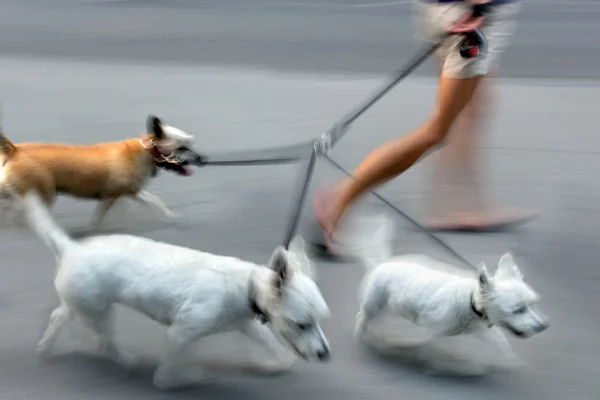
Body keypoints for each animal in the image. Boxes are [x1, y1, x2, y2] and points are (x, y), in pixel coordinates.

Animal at [0, 114, 205, 230]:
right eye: (182, 147)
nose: (202, 159)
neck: (147, 150)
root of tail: (14, 150)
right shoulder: (112, 196)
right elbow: (100, 217)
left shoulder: (131, 192)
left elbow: (155, 201)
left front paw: (169, 216)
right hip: (43, 194)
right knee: (17, 211)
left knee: (12, 207)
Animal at [22, 191, 332, 390]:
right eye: (301, 324)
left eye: (320, 320)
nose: (325, 355)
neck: (246, 286)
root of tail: (71, 247)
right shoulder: (180, 332)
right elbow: (171, 370)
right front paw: (183, 379)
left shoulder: (245, 324)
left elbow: (269, 341)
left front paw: (276, 364)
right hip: (99, 311)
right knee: (102, 340)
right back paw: (126, 360)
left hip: (83, 304)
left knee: (59, 316)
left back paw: (46, 347)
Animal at [346, 216, 548, 366]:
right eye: (518, 309)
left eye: (531, 305)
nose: (543, 326)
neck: (471, 302)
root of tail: (381, 264)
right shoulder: (430, 323)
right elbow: (420, 338)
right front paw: (407, 346)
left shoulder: (483, 331)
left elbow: (501, 343)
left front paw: (513, 361)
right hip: (374, 304)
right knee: (363, 317)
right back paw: (361, 335)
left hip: (388, 306)